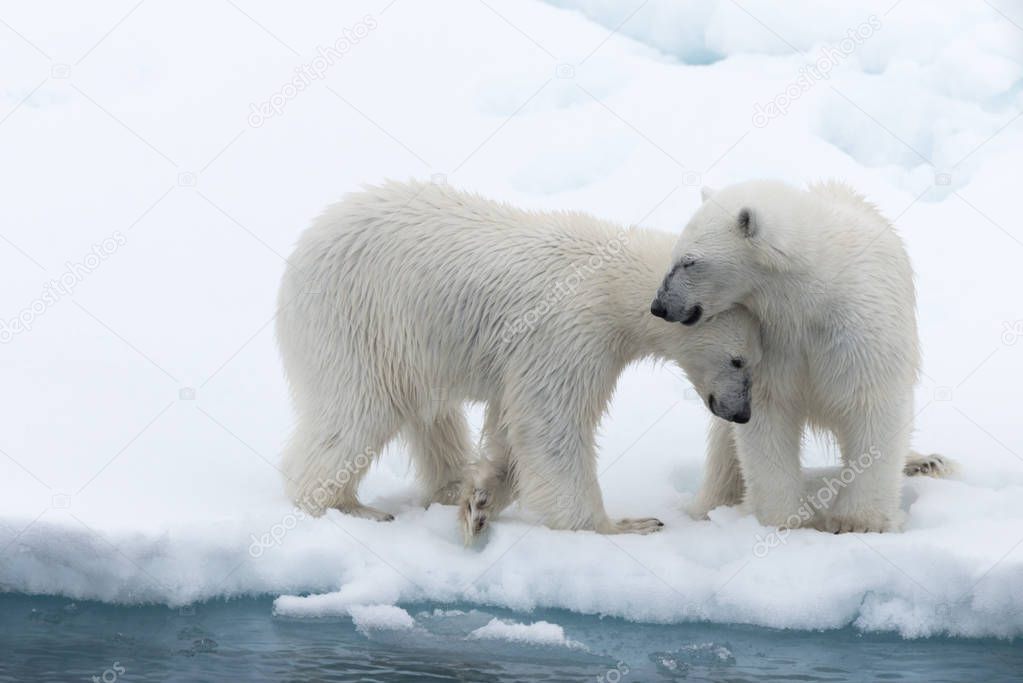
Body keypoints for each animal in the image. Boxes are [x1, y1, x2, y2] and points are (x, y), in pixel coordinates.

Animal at [278, 180, 761, 539]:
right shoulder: (569, 333)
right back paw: (347, 506)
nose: (740, 413)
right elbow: (550, 423)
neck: (612, 284)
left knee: (431, 416)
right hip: (359, 321)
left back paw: (449, 487)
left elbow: (511, 427)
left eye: (757, 361)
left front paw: (480, 500)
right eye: (740, 361)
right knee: (357, 410)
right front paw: (624, 525)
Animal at [650, 178, 924, 531]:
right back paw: (710, 505)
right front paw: (784, 519)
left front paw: (859, 521)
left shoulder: (859, 329)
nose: (659, 306)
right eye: (675, 256)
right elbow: (767, 413)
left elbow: (872, 405)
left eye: (690, 261)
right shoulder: (772, 343)